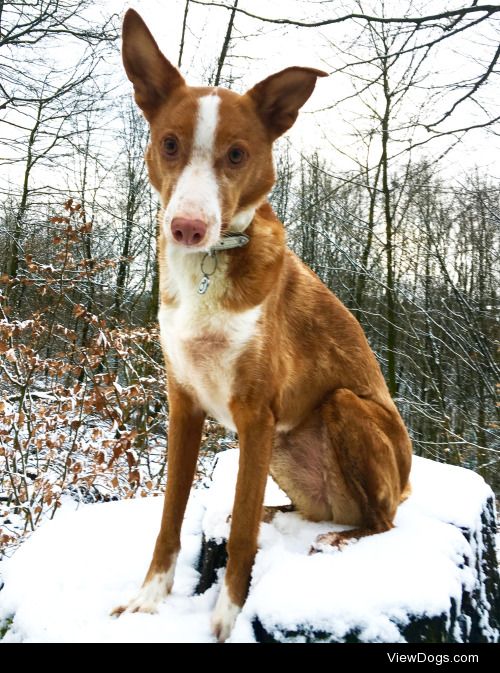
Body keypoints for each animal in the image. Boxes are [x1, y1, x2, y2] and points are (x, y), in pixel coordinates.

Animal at [115, 9, 412, 640]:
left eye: (236, 154)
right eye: (169, 144)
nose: (188, 228)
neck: (208, 272)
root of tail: (407, 482)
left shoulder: (255, 413)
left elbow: (244, 543)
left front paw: (225, 621)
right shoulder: (184, 404)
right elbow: (169, 517)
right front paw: (148, 601)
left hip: (340, 408)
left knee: (382, 523)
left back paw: (338, 539)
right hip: (283, 444)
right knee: (293, 509)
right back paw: (280, 513)